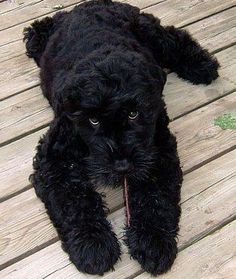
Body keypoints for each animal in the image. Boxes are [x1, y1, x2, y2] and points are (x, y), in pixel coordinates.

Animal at [23, 0, 218, 276]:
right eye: (93, 120)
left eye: (134, 114)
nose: (122, 165)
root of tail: (92, 4)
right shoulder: (53, 158)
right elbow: (74, 199)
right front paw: (93, 245)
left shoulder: (157, 151)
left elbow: (155, 197)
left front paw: (153, 242)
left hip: (152, 34)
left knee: (174, 37)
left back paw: (202, 65)